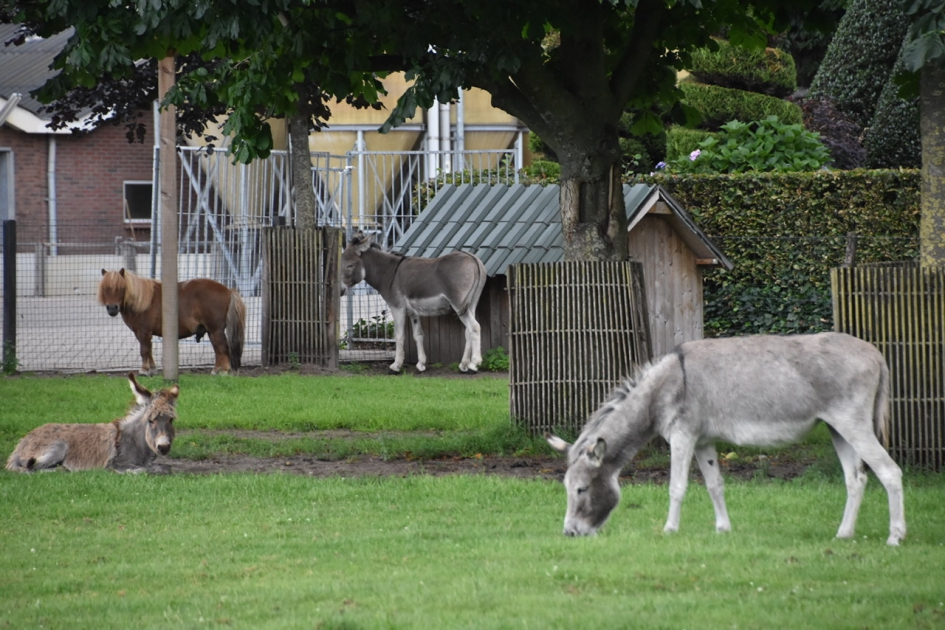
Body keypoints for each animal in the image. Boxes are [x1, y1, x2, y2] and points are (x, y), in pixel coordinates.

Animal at [6, 372, 179, 474]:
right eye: (151, 420)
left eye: (170, 419)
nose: (164, 447)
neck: (136, 441)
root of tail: (21, 443)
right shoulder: (115, 463)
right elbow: (141, 470)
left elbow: (165, 467)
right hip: (58, 447)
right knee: (27, 469)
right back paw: (62, 470)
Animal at [98, 268, 245, 375]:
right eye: (105, 289)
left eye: (121, 288)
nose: (112, 308)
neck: (142, 301)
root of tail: (228, 290)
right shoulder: (142, 334)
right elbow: (148, 350)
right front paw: (152, 369)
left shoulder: (144, 332)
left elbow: (144, 350)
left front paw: (145, 370)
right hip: (211, 331)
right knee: (218, 349)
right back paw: (216, 370)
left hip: (216, 330)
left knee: (222, 347)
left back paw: (225, 370)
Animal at [340, 231, 487, 373]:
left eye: (350, 265)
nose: (340, 291)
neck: (389, 273)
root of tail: (473, 258)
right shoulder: (413, 312)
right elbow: (418, 335)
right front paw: (421, 365)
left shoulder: (397, 308)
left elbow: (399, 336)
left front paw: (396, 366)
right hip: (470, 305)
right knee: (469, 331)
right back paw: (464, 365)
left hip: (458, 304)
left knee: (475, 327)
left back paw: (474, 364)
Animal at [546, 332, 907, 546]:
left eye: (580, 490)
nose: (569, 534)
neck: (664, 386)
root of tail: (876, 353)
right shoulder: (703, 440)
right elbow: (714, 484)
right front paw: (723, 529)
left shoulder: (682, 436)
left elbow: (677, 486)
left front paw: (669, 530)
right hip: (837, 429)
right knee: (856, 479)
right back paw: (844, 534)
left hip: (853, 423)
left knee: (889, 472)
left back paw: (895, 537)